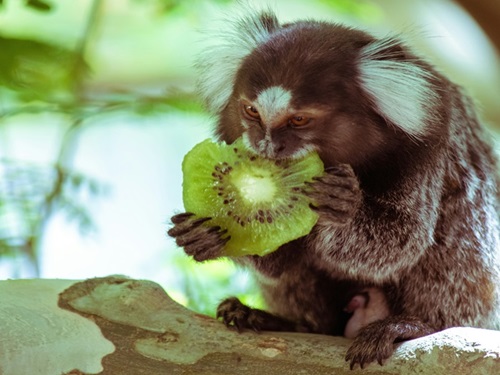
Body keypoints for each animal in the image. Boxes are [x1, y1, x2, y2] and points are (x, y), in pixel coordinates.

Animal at [169, 5, 500, 370]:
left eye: (299, 120)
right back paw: (288, 323)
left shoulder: (430, 139)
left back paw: (413, 325)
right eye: (251, 111)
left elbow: (402, 242)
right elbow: (279, 262)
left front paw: (344, 207)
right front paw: (209, 235)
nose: (266, 145)